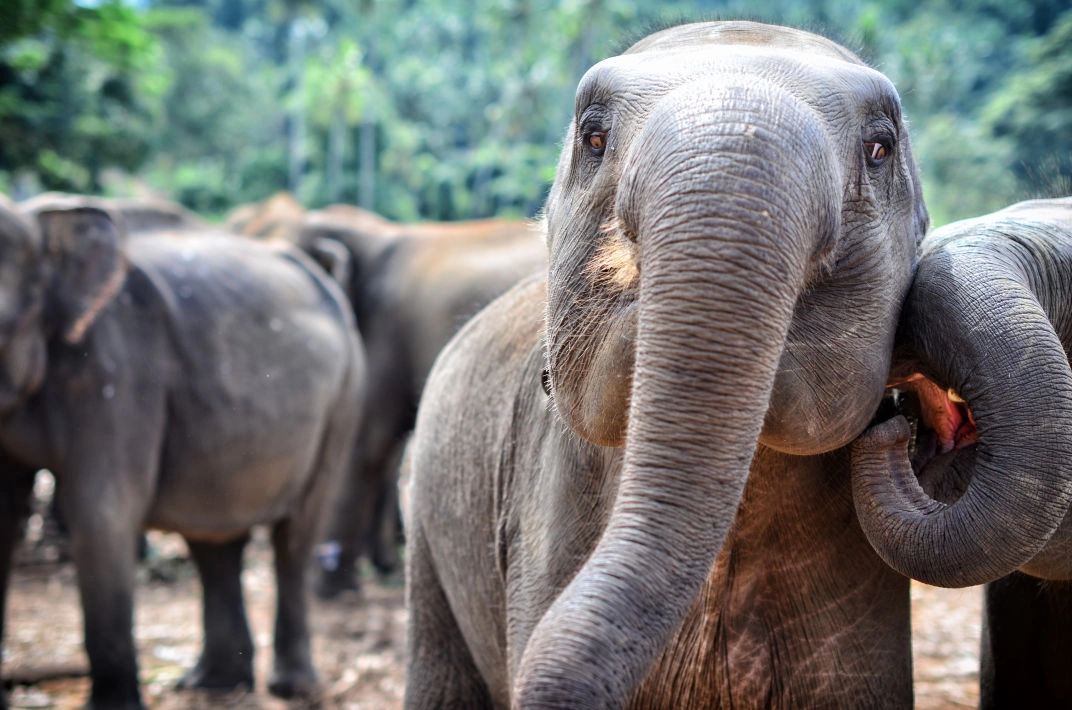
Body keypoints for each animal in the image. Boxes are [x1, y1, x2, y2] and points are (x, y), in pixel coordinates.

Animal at [0, 196, 364, 710]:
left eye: (5, 327)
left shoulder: (120, 371)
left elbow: (100, 512)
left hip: (344, 399)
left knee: (294, 535)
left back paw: (292, 688)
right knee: (214, 538)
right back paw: (215, 684)